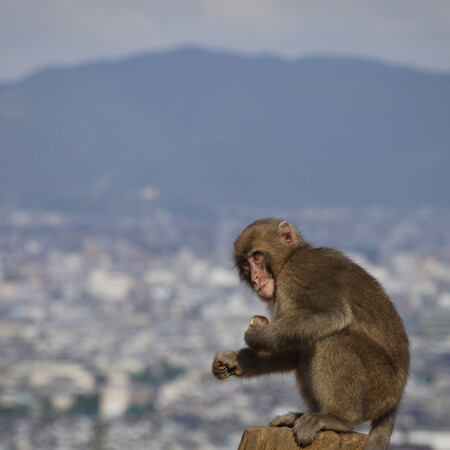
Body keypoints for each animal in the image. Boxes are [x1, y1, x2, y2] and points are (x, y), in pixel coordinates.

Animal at [213, 219, 410, 450]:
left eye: (257, 256)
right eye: (245, 263)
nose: (254, 278)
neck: (287, 261)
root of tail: (395, 401)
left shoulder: (302, 272)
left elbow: (333, 314)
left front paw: (257, 335)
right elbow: (293, 350)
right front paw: (234, 359)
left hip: (381, 387)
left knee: (334, 340)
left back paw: (337, 418)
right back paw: (302, 415)